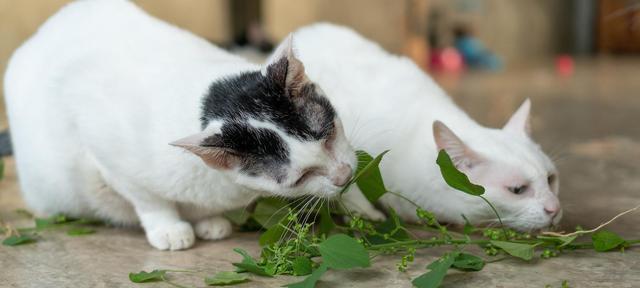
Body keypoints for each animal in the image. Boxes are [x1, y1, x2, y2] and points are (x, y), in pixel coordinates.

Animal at [3, 0, 356, 250]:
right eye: (301, 177)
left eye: (329, 135)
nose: (344, 177)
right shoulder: (109, 155)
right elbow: (149, 199)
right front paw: (170, 229)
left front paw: (209, 220)